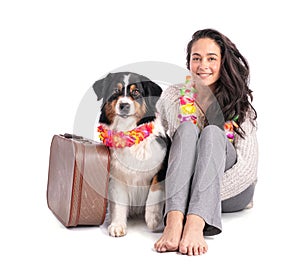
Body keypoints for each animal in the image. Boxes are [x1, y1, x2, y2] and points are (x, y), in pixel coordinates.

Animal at [93, 71, 169, 237]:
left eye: (136, 92)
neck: (128, 131)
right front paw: (117, 225)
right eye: (115, 91)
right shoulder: (117, 176)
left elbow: (155, 190)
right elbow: (119, 203)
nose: (124, 105)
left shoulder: (162, 165)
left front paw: (153, 218)